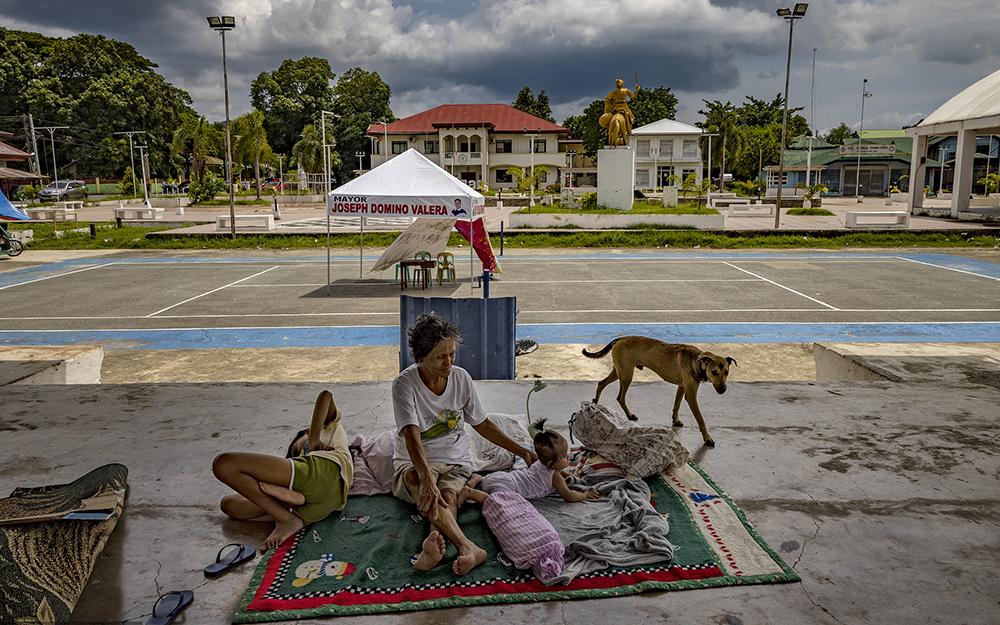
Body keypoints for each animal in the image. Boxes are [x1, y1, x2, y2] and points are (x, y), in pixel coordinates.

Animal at [584, 338, 736, 446]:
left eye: (726, 372)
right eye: (714, 372)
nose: (723, 389)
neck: (697, 361)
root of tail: (620, 339)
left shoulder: (682, 387)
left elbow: (676, 405)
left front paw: (675, 420)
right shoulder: (691, 395)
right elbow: (700, 419)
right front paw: (707, 438)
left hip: (618, 372)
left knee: (601, 383)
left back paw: (595, 402)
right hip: (626, 374)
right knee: (620, 397)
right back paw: (629, 414)